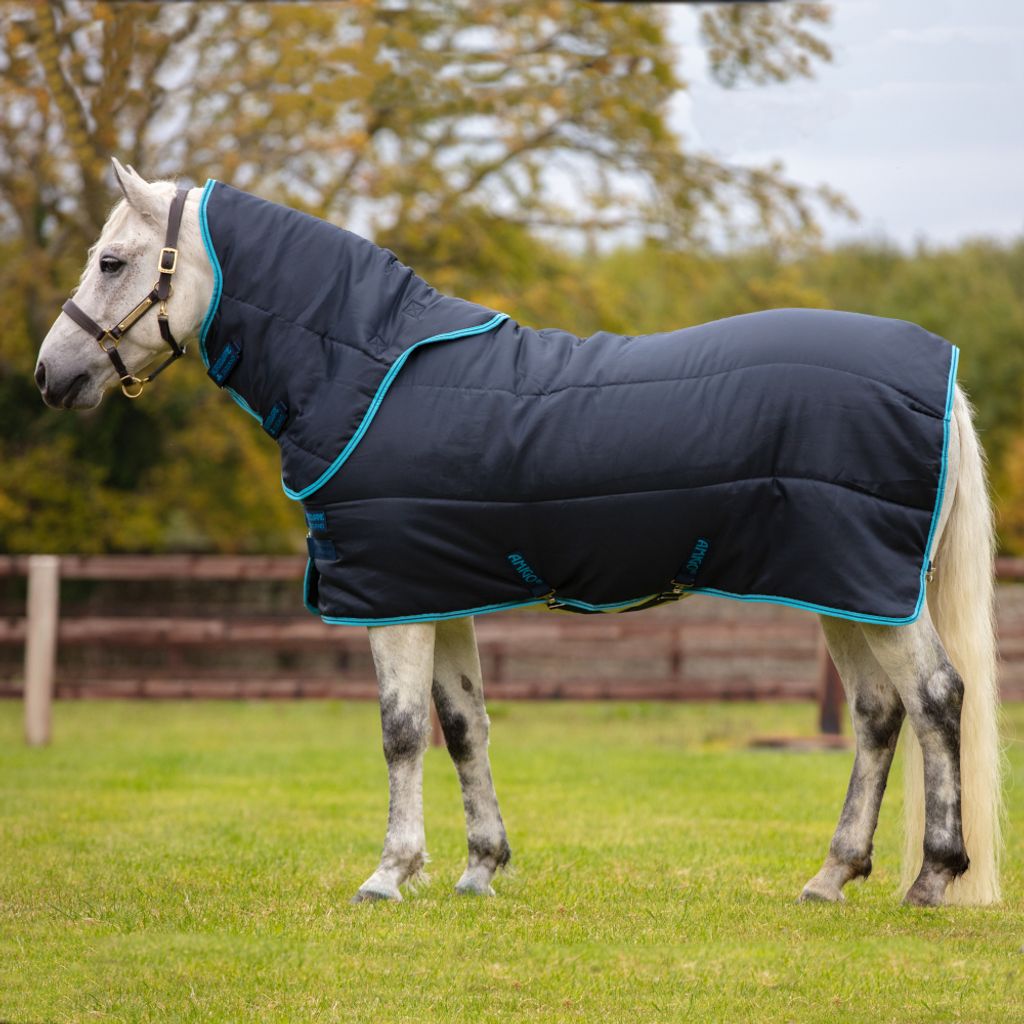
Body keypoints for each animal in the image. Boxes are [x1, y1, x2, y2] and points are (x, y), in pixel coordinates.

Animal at [34, 159, 1002, 906]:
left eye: (112, 261)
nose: (51, 374)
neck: (367, 370)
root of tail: (944, 375)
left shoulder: (392, 600)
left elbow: (400, 731)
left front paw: (389, 874)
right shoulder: (436, 591)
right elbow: (465, 726)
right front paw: (479, 870)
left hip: (868, 588)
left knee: (934, 698)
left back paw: (932, 878)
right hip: (845, 589)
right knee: (878, 714)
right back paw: (831, 878)